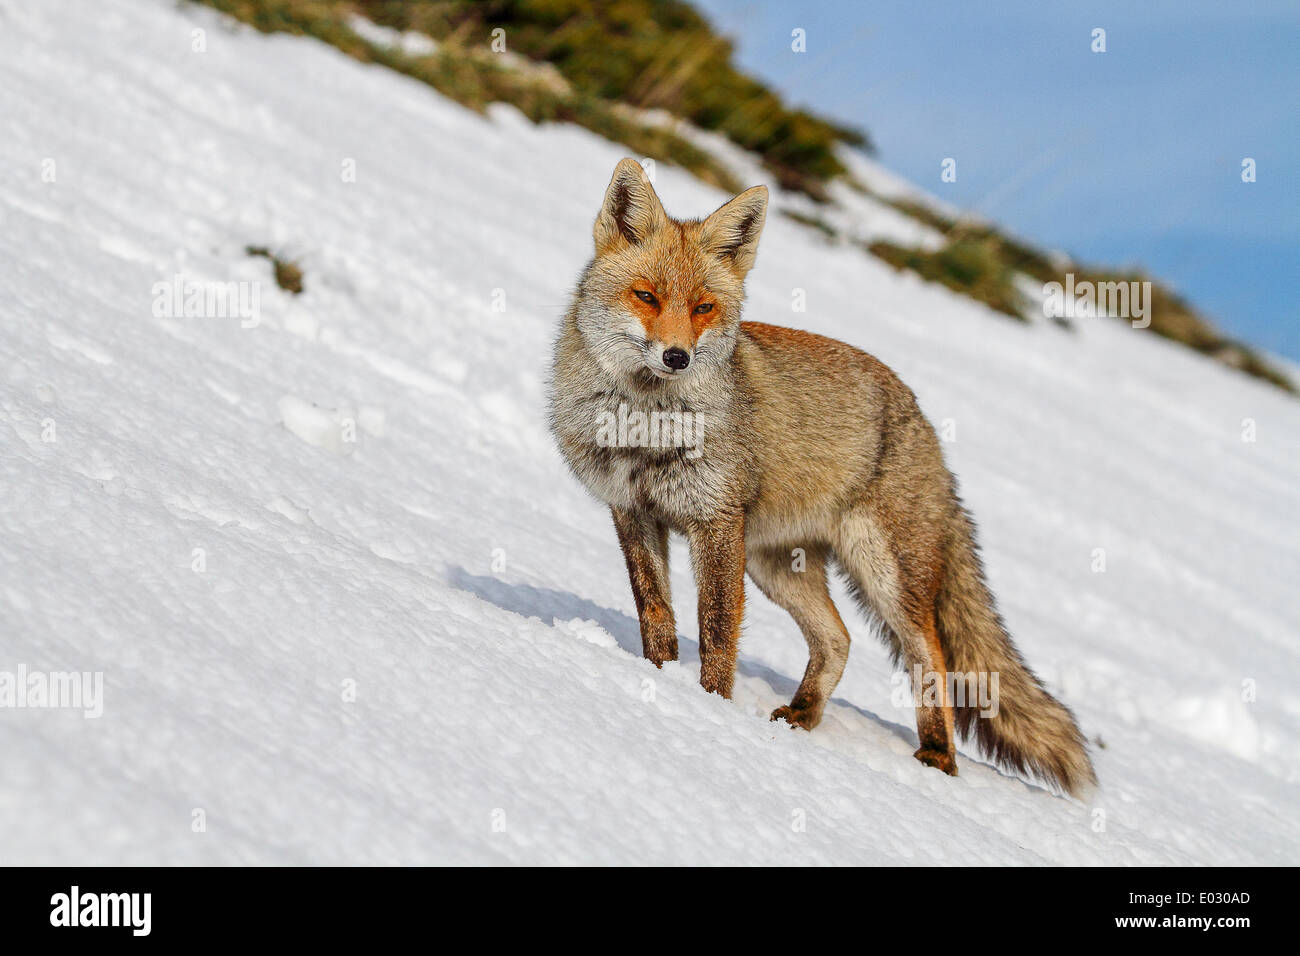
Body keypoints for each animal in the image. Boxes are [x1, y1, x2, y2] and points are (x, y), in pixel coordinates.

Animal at [548, 158, 1097, 801]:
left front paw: (709, 708)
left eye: (704, 306)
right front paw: (656, 680)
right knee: (839, 640)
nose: (677, 357)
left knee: (929, 654)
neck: (645, 426)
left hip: (881, 572)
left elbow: (716, 635)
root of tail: (922, 419)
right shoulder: (634, 513)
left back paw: (937, 758)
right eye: (647, 296)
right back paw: (802, 716)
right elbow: (657, 619)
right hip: (775, 565)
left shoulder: (714, 523)